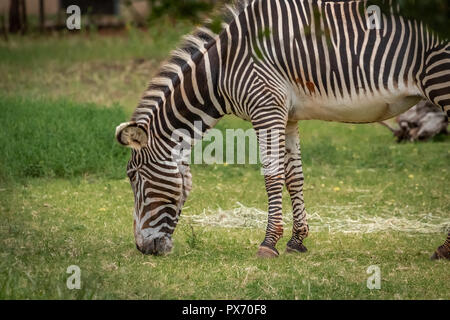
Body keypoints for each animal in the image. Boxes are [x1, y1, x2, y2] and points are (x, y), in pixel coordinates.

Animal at [116, 0, 450, 258]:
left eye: (134, 178)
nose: (143, 249)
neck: (222, 69)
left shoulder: (266, 108)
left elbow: (272, 175)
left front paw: (268, 243)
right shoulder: (287, 115)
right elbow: (294, 177)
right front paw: (296, 240)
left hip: (440, 79)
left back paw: (444, 249)